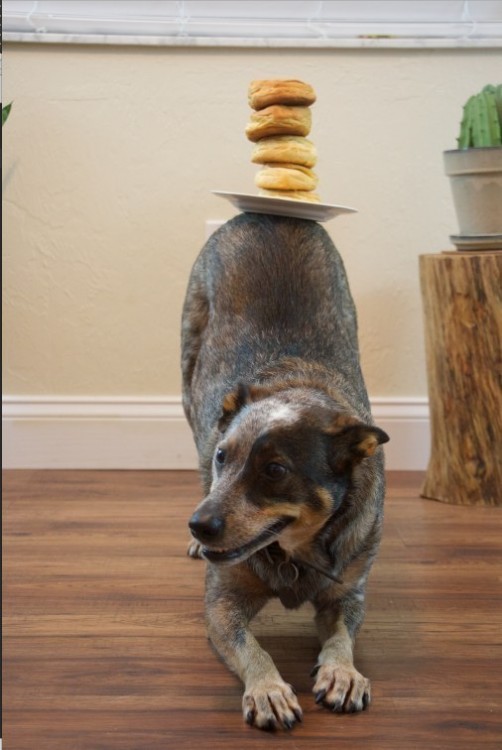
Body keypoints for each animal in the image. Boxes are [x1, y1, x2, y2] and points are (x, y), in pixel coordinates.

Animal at [182, 214, 390, 732]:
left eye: (275, 470)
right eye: (222, 457)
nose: (198, 524)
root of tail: (265, 214)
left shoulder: (348, 591)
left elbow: (342, 636)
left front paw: (343, 672)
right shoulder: (222, 603)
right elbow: (250, 648)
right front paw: (269, 689)